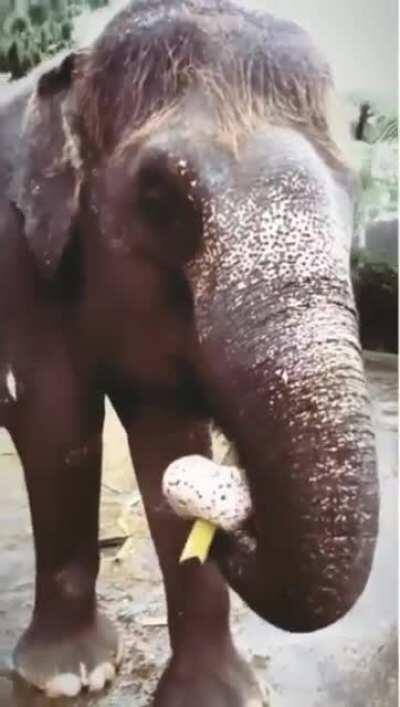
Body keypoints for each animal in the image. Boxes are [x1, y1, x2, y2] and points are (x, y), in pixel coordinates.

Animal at [0, 0, 379, 704]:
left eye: (355, 191)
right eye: (158, 195)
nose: (230, 526)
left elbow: (165, 430)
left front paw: (220, 697)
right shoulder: (15, 262)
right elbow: (56, 422)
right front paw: (68, 676)